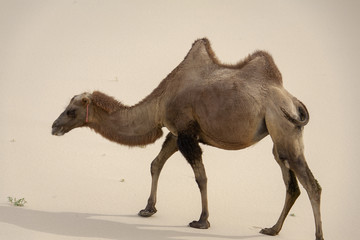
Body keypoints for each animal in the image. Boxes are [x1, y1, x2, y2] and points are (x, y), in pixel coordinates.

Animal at [50, 38, 324, 239]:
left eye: (71, 111)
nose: (54, 126)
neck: (159, 102)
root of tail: (293, 101)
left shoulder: (186, 134)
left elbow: (200, 177)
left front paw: (202, 221)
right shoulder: (175, 132)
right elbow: (156, 164)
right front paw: (148, 209)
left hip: (283, 126)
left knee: (311, 185)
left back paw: (317, 235)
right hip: (281, 137)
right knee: (291, 184)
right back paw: (272, 229)